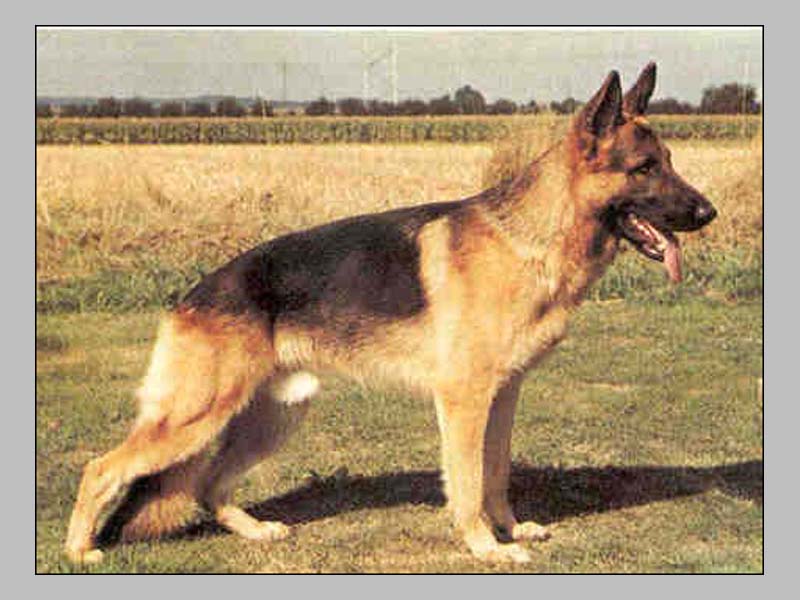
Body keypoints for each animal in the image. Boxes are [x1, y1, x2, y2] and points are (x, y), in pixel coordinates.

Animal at [65, 63, 716, 565]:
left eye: (670, 160)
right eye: (644, 169)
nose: (708, 213)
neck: (529, 239)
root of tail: (190, 296)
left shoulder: (503, 396)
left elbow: (497, 473)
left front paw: (508, 529)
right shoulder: (464, 401)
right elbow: (468, 482)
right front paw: (485, 546)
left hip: (273, 416)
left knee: (210, 483)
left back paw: (253, 531)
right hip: (195, 417)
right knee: (103, 468)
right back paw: (79, 551)